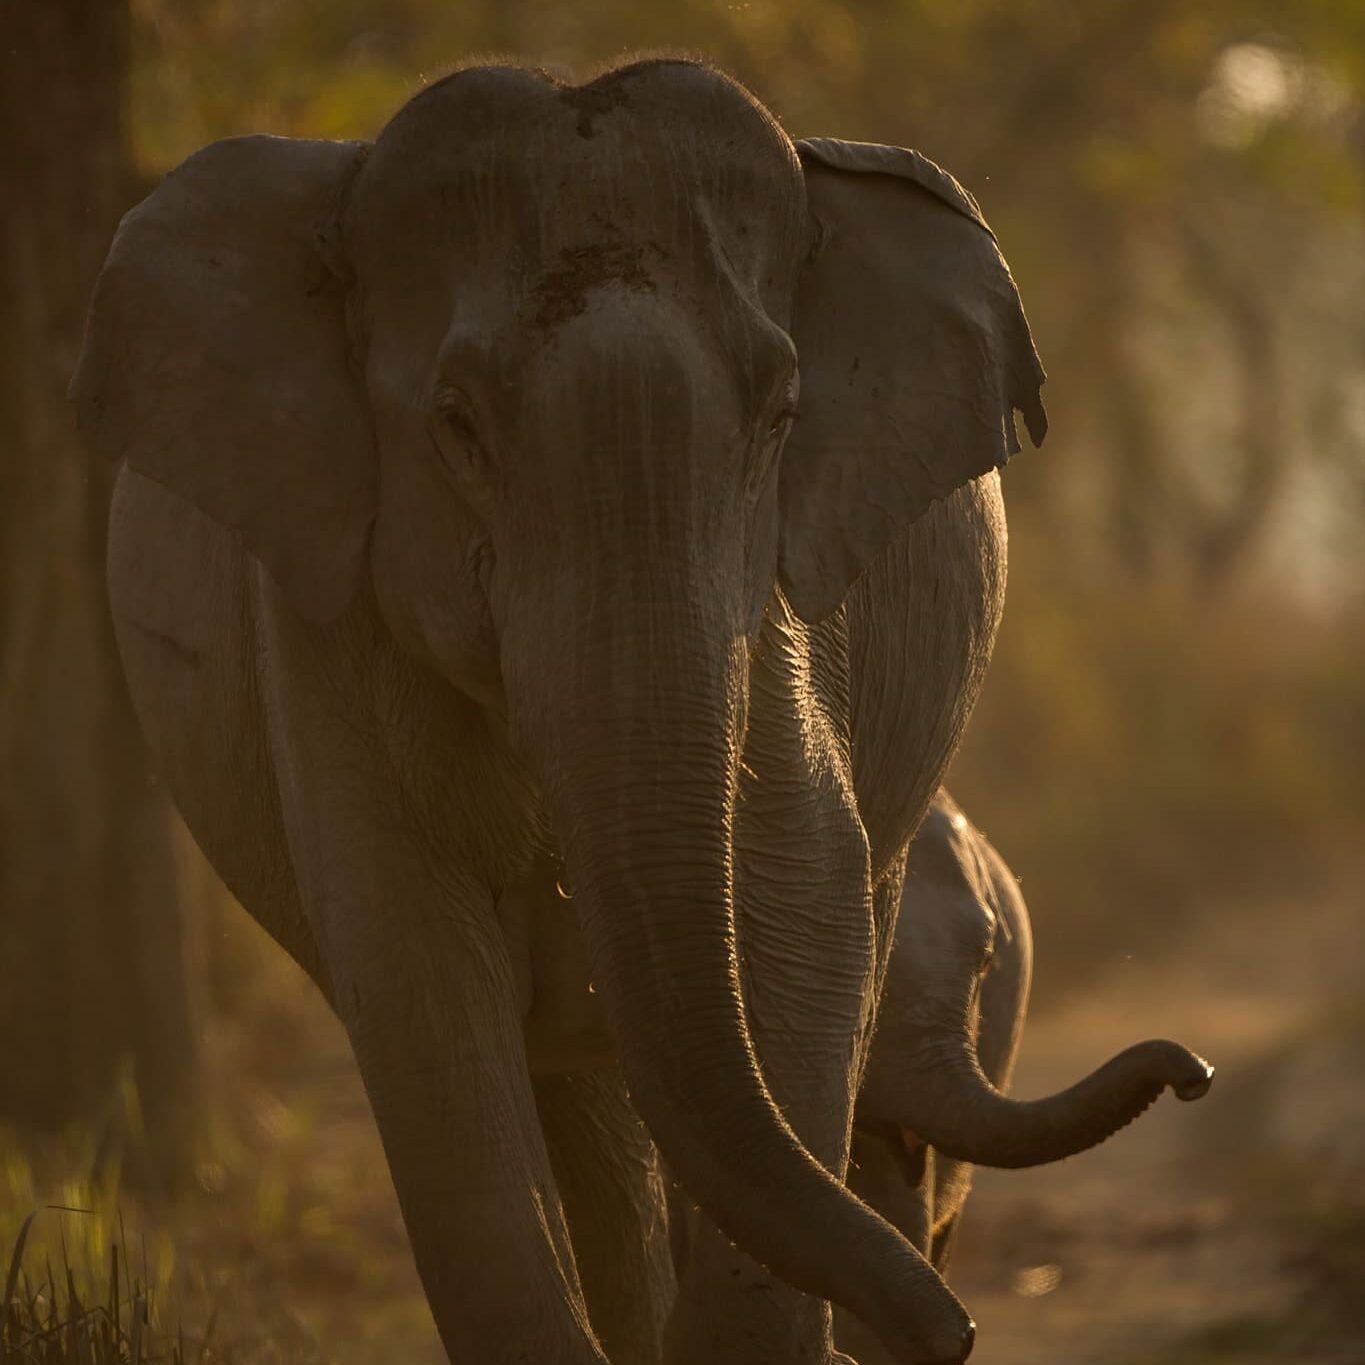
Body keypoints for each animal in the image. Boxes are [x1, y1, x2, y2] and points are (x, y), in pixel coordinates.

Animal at [72, 58, 1042, 1365]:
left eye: (781, 414)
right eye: (458, 425)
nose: (957, 1329)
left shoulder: (782, 604)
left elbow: (799, 905)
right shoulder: (322, 605)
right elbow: (415, 970)